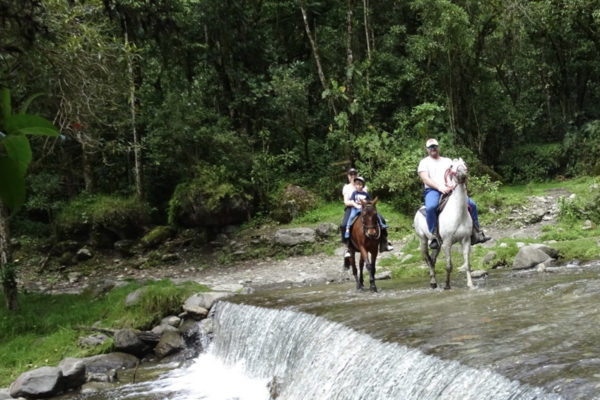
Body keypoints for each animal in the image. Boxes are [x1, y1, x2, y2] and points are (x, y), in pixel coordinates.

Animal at [412, 158, 474, 290]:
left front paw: (470, 284)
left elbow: (467, 264)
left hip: (437, 244)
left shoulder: (466, 240)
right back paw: (433, 282)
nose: (463, 175)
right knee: (428, 259)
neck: (458, 213)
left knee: (433, 259)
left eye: (465, 164)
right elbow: (449, 265)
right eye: (451, 166)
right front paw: (447, 285)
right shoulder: (447, 242)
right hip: (423, 240)